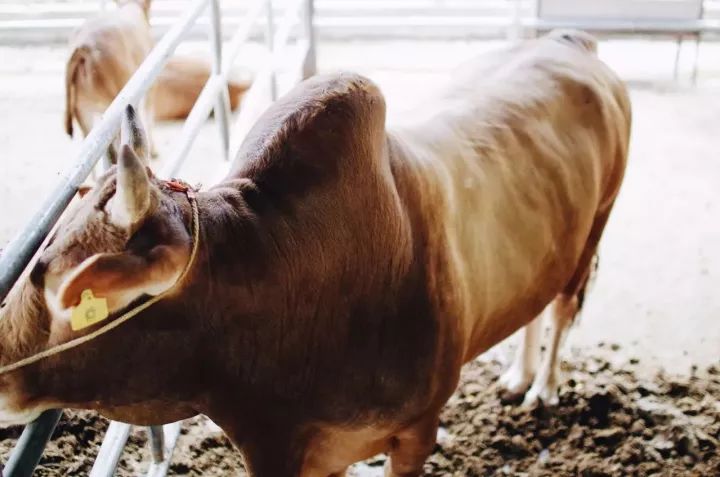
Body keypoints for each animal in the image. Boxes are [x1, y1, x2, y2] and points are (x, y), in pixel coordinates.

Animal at [0, 31, 632, 474]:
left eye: (69, 293)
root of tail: (570, 41)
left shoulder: (416, 432)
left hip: (597, 224)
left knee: (562, 307)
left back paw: (542, 388)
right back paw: (517, 376)